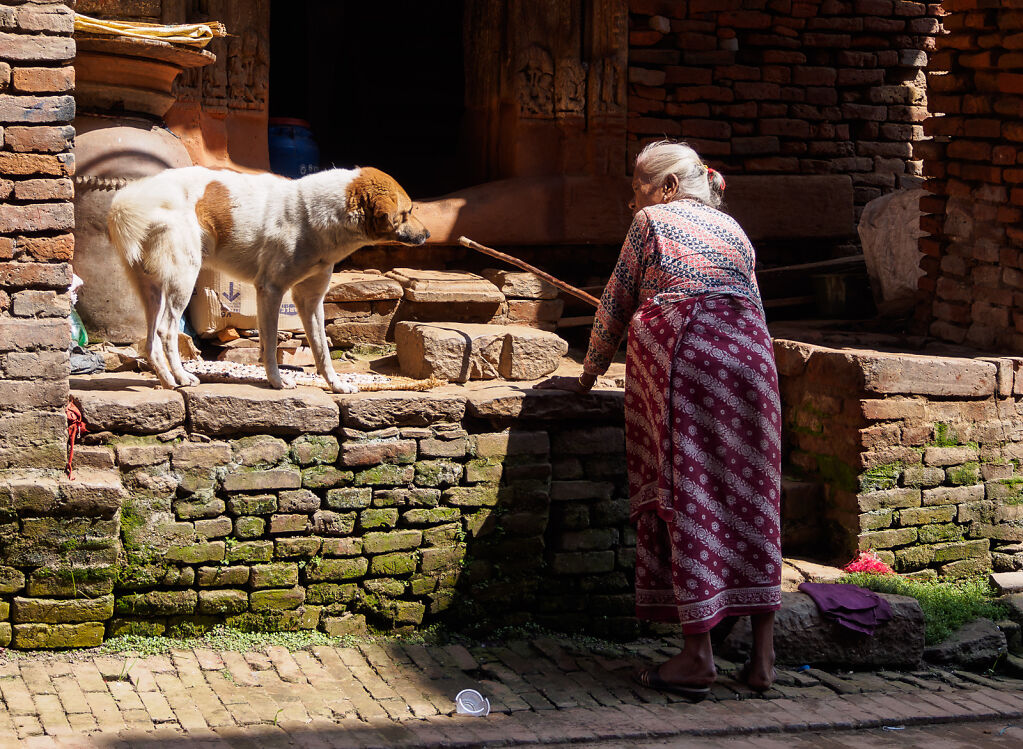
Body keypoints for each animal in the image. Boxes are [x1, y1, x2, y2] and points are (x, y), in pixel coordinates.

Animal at [109, 166, 429, 392]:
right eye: (408, 211)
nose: (427, 234)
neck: (313, 215)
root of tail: (130, 198)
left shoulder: (309, 299)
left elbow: (321, 350)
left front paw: (336, 385)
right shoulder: (271, 289)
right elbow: (273, 344)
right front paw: (277, 382)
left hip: (151, 290)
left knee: (150, 343)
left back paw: (167, 380)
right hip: (183, 277)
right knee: (166, 332)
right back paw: (182, 377)